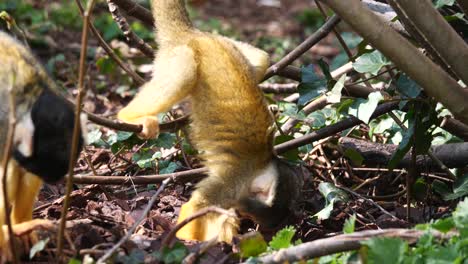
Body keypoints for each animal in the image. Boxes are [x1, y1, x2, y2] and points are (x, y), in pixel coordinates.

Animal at [118, 0, 304, 243]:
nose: (246, 216)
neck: (264, 163)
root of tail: (192, 34)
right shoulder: (236, 177)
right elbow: (196, 206)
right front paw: (194, 241)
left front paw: (227, 224)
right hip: (179, 55)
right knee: (184, 74)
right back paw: (129, 116)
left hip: (227, 43)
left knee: (262, 59)